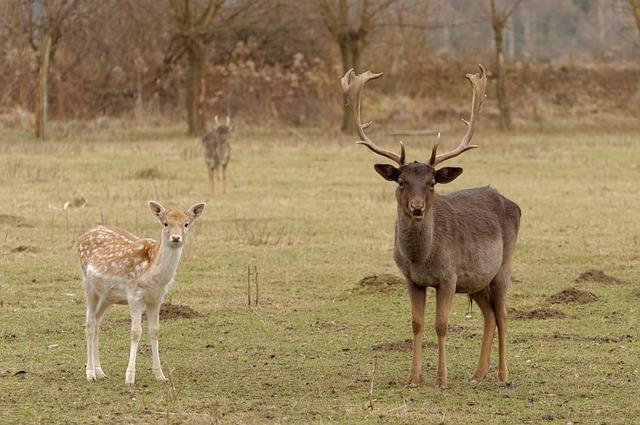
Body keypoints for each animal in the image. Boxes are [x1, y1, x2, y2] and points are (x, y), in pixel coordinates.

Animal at [75, 200, 206, 384]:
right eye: (165, 223)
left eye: (186, 224)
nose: (176, 238)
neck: (152, 276)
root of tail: (82, 236)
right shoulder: (134, 295)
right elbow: (136, 332)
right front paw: (130, 377)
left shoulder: (157, 298)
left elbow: (155, 330)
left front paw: (160, 375)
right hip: (87, 284)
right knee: (89, 324)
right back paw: (91, 373)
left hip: (107, 296)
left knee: (96, 322)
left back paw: (100, 371)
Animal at [344, 65, 520, 388]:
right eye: (401, 181)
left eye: (432, 182)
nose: (417, 208)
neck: (421, 258)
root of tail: (512, 203)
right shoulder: (411, 279)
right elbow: (417, 323)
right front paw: (413, 377)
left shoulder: (449, 275)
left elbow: (441, 324)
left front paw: (441, 378)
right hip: (477, 279)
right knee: (489, 315)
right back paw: (478, 374)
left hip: (504, 266)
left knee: (502, 314)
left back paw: (502, 375)